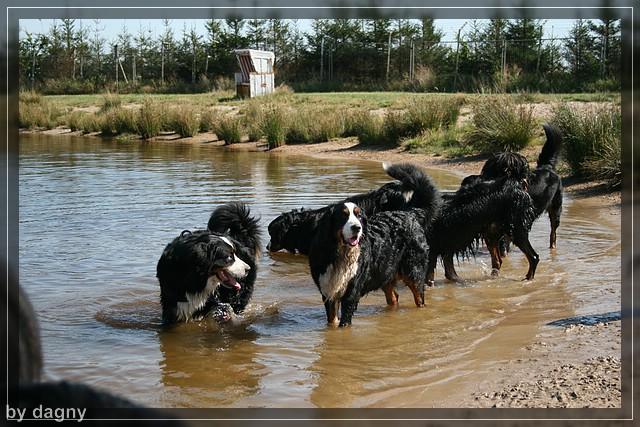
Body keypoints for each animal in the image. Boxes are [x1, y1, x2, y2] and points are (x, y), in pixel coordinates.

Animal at [306, 171, 440, 328]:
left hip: (414, 272)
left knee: (419, 299)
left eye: (358, 216)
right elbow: (332, 320)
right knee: (394, 297)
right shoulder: (328, 291)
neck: (339, 253)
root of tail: (410, 213)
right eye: (343, 215)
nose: (357, 227)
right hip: (386, 273)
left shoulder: (351, 293)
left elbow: (344, 323)